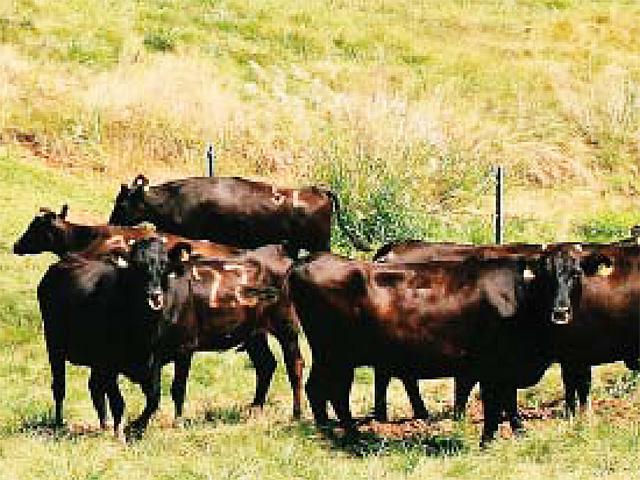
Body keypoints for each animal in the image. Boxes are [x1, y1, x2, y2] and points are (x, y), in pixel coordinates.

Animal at [287, 250, 593, 445]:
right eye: (546, 275)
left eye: (576, 274)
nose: (560, 311)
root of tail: (308, 260)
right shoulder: (493, 364)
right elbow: (496, 403)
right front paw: (488, 440)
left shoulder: (503, 367)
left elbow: (507, 401)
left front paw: (517, 432)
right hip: (335, 353)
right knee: (331, 391)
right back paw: (348, 436)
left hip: (335, 355)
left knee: (322, 389)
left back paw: (331, 432)